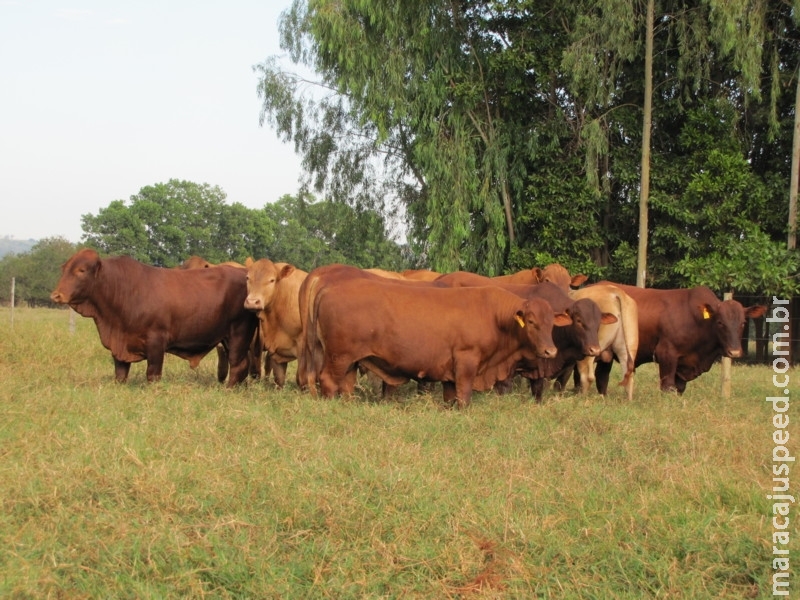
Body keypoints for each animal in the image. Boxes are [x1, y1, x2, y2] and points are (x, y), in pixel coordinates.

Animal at [50, 247, 256, 384]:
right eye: (64, 268)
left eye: (81, 270)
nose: (56, 295)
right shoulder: (120, 344)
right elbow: (120, 372)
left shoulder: (157, 341)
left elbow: (153, 373)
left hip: (238, 334)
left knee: (239, 365)